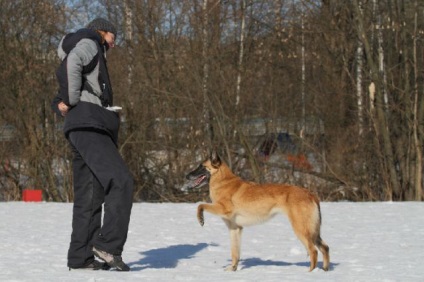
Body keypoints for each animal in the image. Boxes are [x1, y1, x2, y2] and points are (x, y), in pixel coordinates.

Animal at [186, 151, 332, 272]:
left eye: (201, 166)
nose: (186, 175)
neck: (223, 181)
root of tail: (310, 194)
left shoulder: (221, 209)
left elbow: (200, 205)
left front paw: (200, 218)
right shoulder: (235, 228)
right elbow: (235, 253)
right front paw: (233, 269)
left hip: (301, 229)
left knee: (314, 251)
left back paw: (309, 273)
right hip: (312, 231)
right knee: (325, 248)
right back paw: (324, 270)